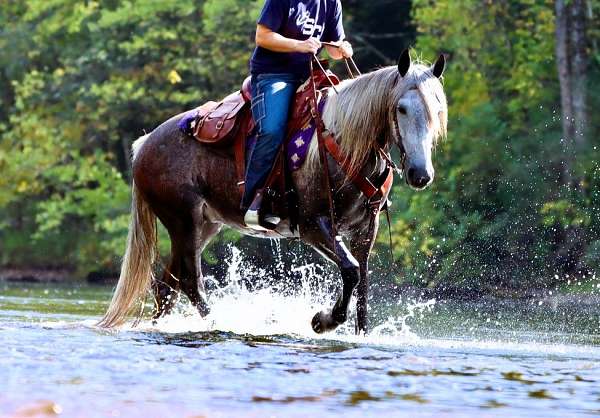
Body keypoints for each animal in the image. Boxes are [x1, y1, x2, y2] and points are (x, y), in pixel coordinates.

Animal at [99, 50, 446, 334]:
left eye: (437, 110)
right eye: (401, 108)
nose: (420, 174)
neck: (345, 144)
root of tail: (145, 144)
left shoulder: (365, 229)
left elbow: (361, 283)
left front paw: (359, 333)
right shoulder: (312, 225)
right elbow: (350, 272)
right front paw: (323, 321)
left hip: (204, 225)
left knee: (166, 285)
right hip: (183, 221)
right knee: (189, 282)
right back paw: (222, 324)